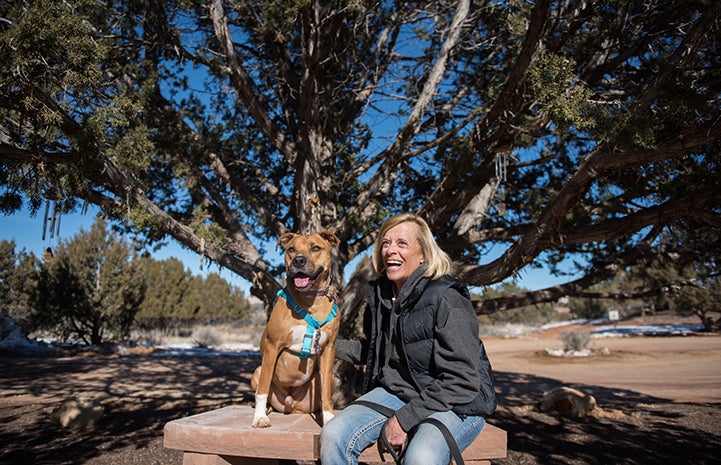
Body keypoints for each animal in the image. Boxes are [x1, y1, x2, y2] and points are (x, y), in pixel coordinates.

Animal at [250, 230, 340, 426]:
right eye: (291, 249)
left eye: (316, 248)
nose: (298, 260)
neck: (310, 299)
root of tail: (291, 404)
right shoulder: (272, 346)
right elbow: (262, 389)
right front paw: (259, 417)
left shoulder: (328, 349)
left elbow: (325, 394)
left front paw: (328, 417)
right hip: (257, 371)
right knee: (262, 388)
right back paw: (266, 409)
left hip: (328, 380)